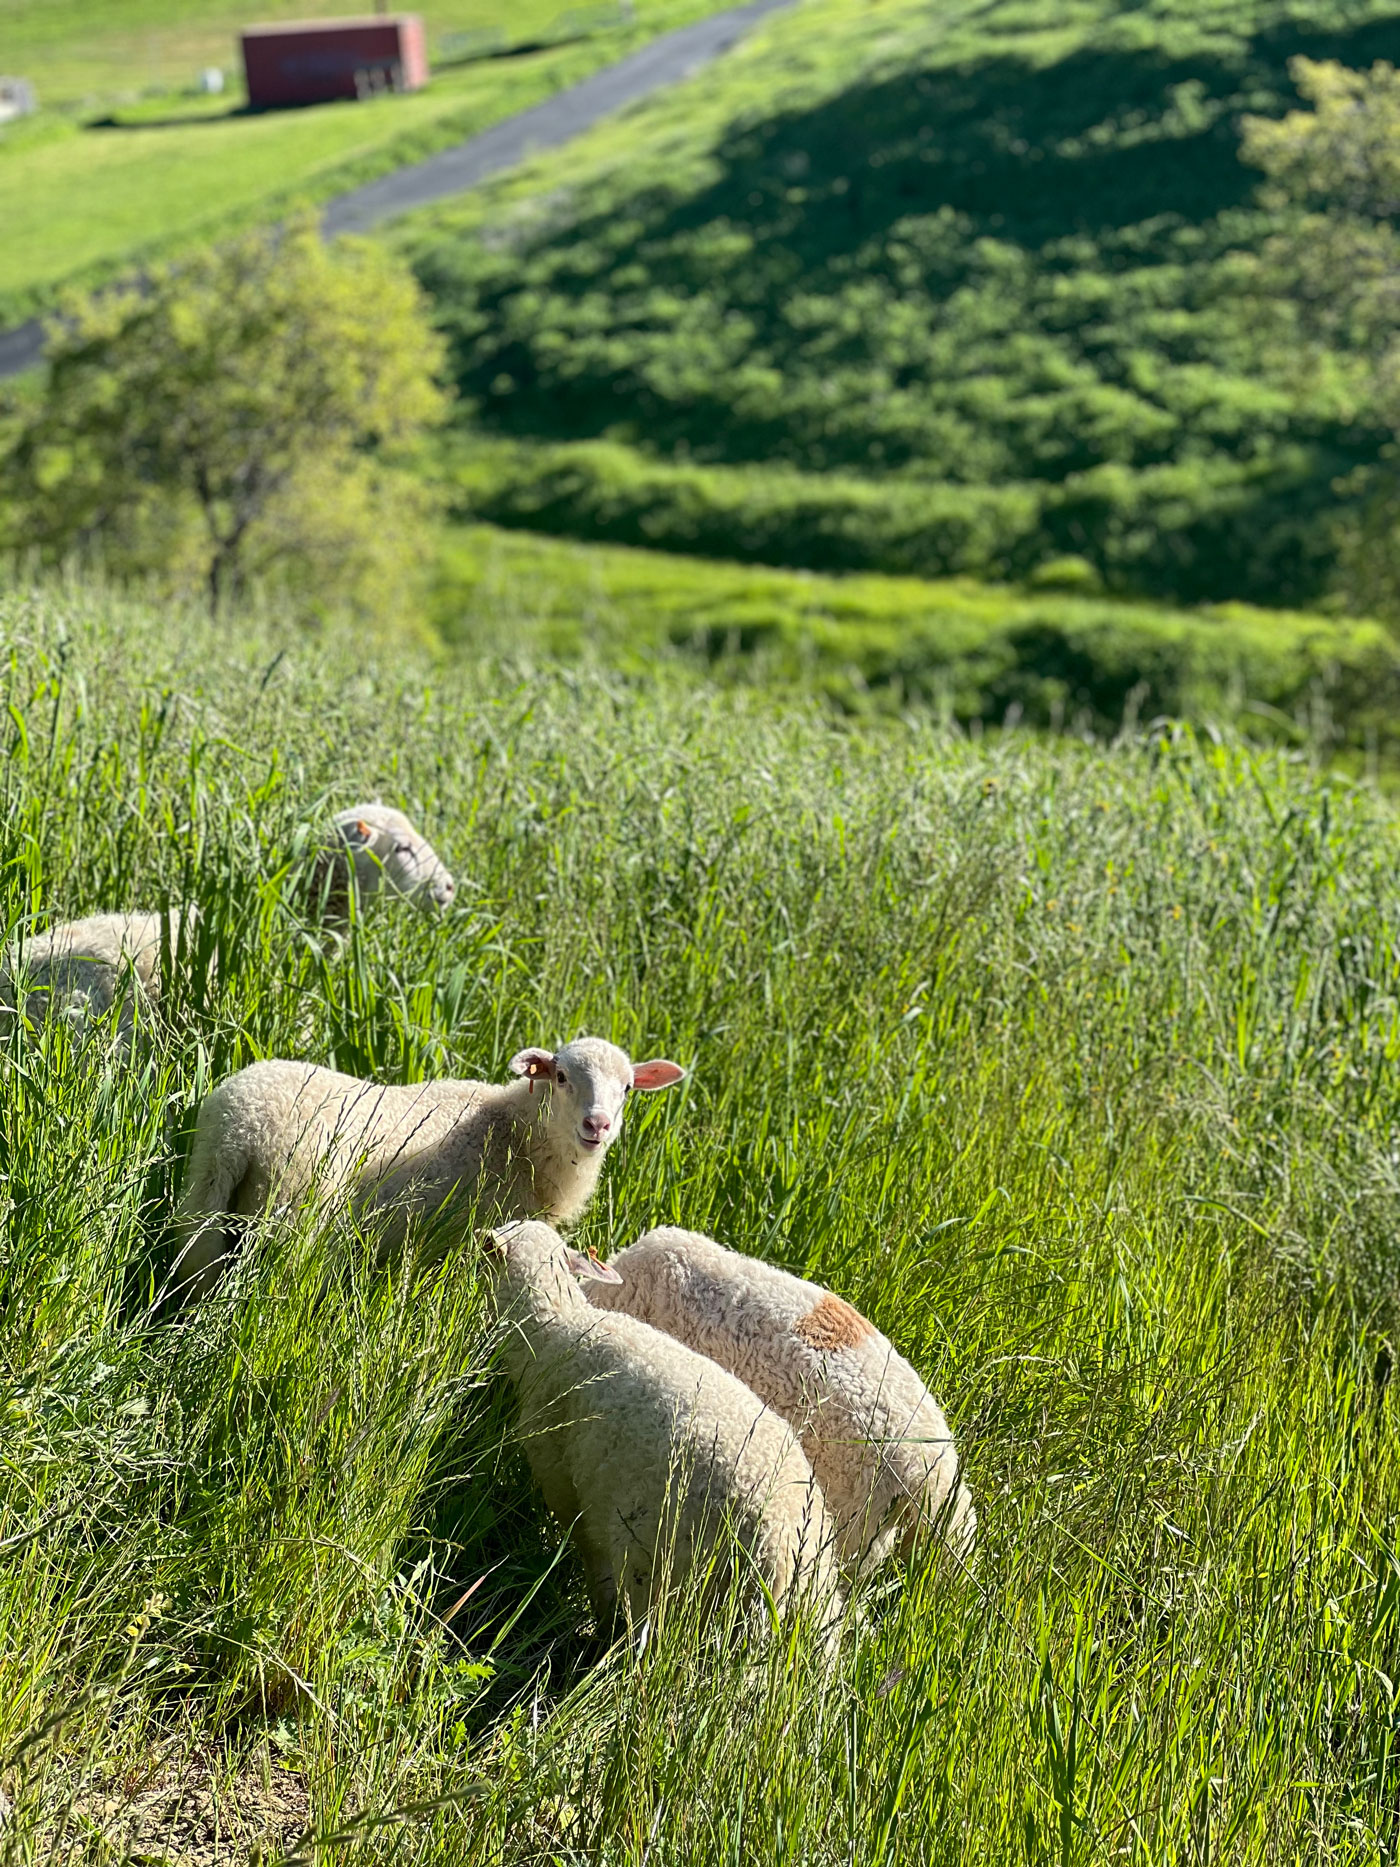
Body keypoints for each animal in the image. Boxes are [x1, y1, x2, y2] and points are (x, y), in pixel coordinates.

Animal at [170, 1037, 686, 1299]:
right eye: (560, 1077)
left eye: (627, 1089)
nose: (596, 1125)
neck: (515, 1134)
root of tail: (240, 1126)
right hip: (290, 1213)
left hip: (203, 1201)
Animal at [483, 1218, 843, 1638]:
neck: (556, 1323)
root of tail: (782, 1552)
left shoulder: (563, 1485)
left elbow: (593, 1565)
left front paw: (600, 1623)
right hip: (811, 1608)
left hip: (662, 1567)